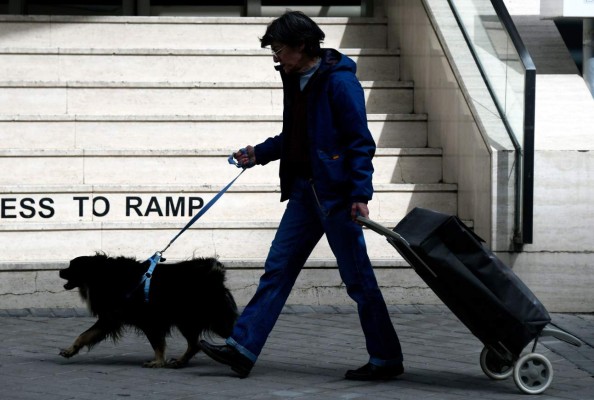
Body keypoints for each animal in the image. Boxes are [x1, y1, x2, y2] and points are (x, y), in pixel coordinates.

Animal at [58, 255, 236, 368]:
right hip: (187, 321)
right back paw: (181, 361)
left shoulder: (148, 321)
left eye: (71, 266)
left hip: (212, 319)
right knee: (194, 344)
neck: (102, 275)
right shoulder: (110, 318)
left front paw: (158, 362)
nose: (59, 271)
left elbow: (157, 343)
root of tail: (215, 274)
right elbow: (84, 335)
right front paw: (70, 350)